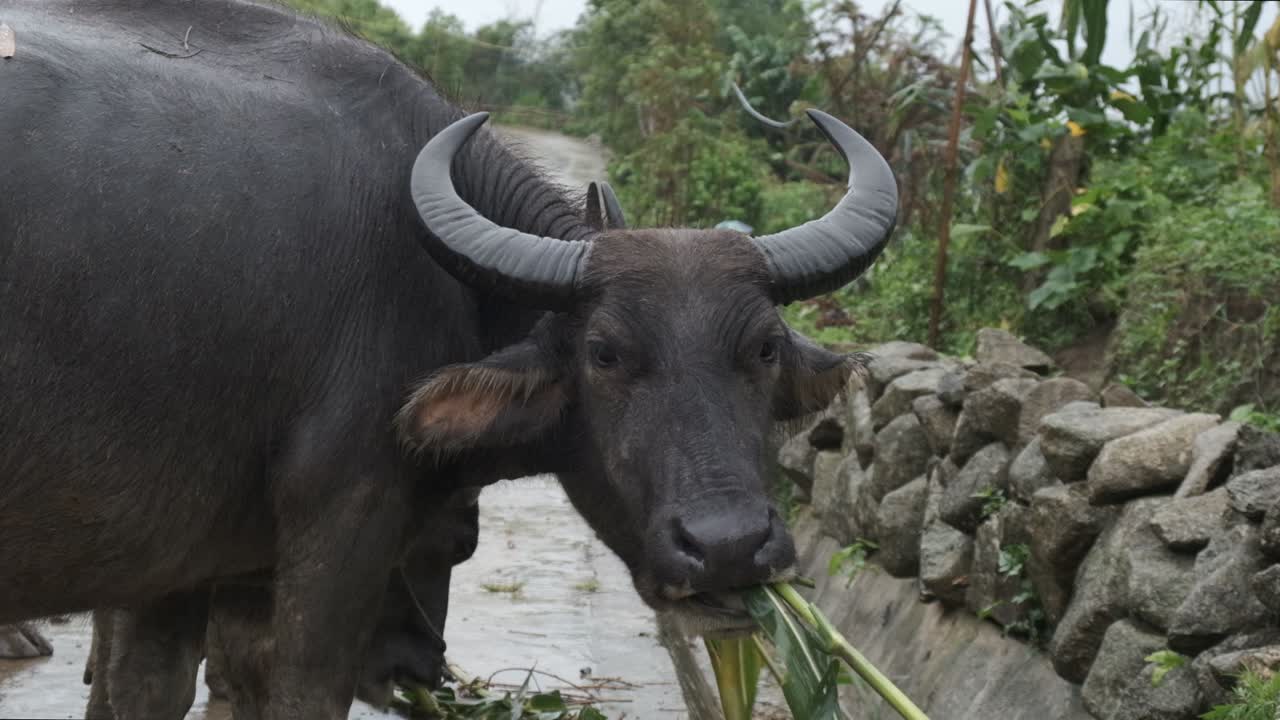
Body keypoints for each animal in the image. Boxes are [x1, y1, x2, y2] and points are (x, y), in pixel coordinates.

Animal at [0, 2, 897, 718]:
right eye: (604, 353)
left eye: (765, 348)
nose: (728, 547)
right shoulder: (341, 528)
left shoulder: (181, 566)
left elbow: (157, 689)